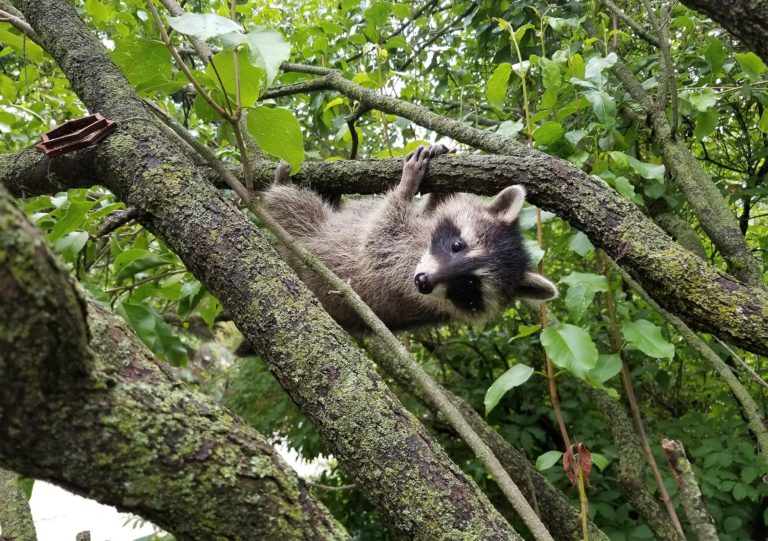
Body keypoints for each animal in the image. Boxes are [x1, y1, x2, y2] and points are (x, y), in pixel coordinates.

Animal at [264, 143, 560, 332]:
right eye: (457, 245)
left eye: (470, 284)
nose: (423, 282)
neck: (423, 245)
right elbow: (433, 208)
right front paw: (439, 188)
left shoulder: (397, 269)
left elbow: (379, 237)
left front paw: (405, 186)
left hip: (309, 241)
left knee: (297, 209)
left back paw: (280, 187)